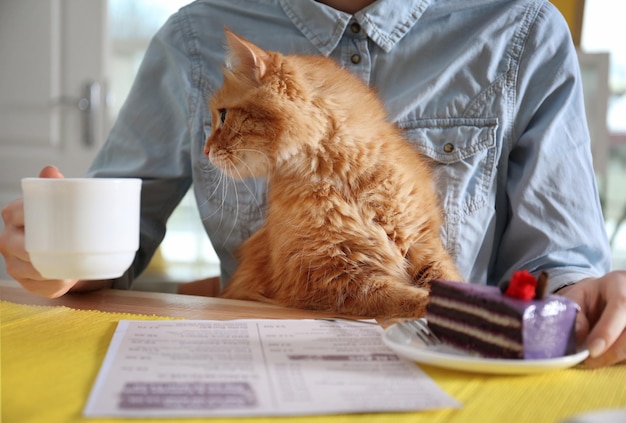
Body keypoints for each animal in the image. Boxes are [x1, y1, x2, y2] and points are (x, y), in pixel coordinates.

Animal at [205, 29, 458, 320]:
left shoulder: (424, 243)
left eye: (223, 115)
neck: (347, 182)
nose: (205, 150)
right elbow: (406, 298)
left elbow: (448, 282)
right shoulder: (333, 280)